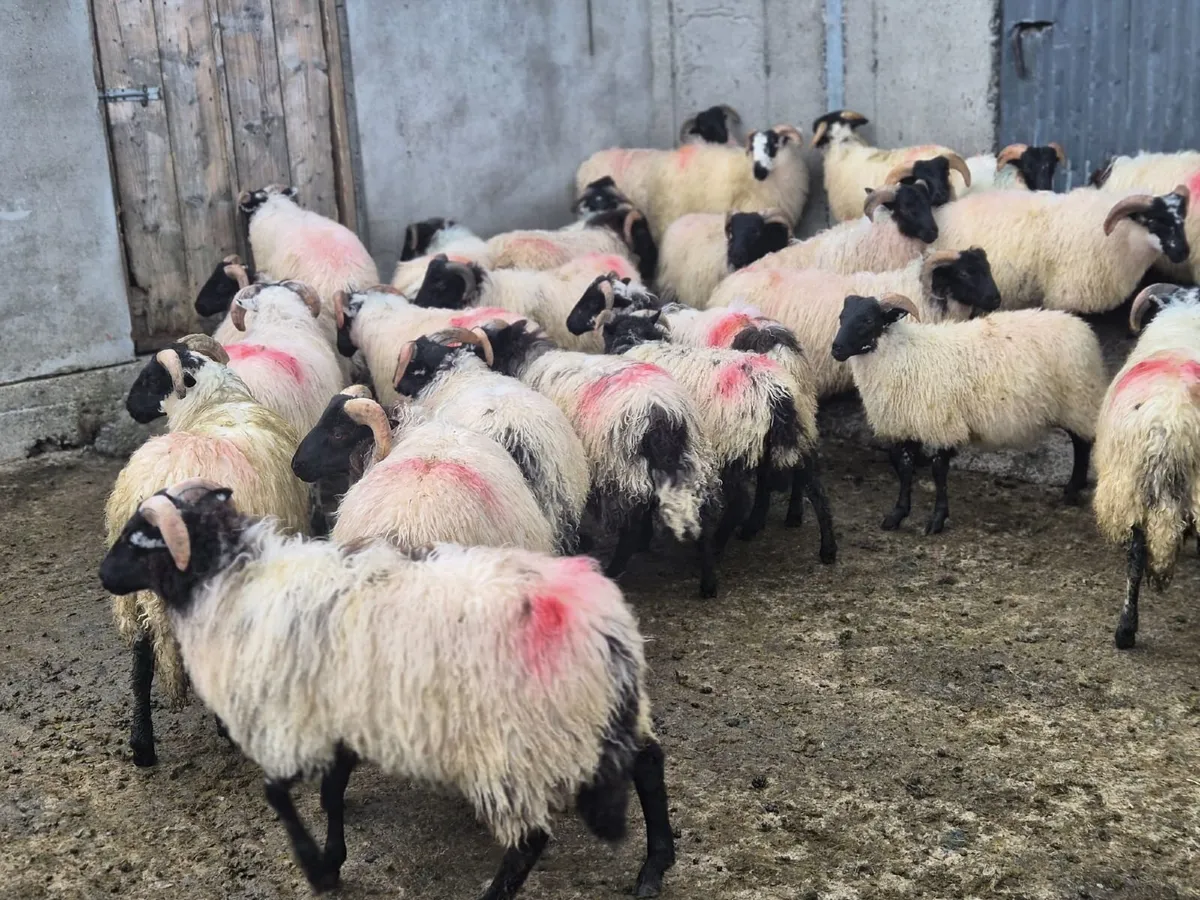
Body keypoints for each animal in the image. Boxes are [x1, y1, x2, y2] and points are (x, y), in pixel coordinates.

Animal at [99, 481, 676, 899]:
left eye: (141, 538)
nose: (103, 575)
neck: (235, 583)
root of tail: (602, 627)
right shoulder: (341, 710)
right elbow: (331, 791)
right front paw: (333, 859)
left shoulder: (294, 719)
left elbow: (280, 793)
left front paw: (317, 868)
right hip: (596, 716)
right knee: (648, 762)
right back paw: (655, 865)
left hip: (512, 741)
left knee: (531, 838)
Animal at [106, 335, 309, 766]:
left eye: (150, 378)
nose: (129, 406)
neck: (218, 403)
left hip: (133, 591)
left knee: (140, 661)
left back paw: (142, 746)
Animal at [477, 318, 715, 587]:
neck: (528, 360)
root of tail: (661, 411)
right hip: (689, 460)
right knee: (703, 518)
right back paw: (708, 582)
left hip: (621, 470)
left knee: (631, 528)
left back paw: (614, 570)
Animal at [831, 294, 1107, 534]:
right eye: (842, 317)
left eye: (868, 320)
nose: (836, 349)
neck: (901, 356)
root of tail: (1080, 326)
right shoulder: (906, 424)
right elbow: (904, 469)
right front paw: (897, 515)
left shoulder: (944, 424)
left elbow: (938, 471)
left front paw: (937, 520)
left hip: (1078, 399)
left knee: (1082, 442)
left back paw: (1072, 490)